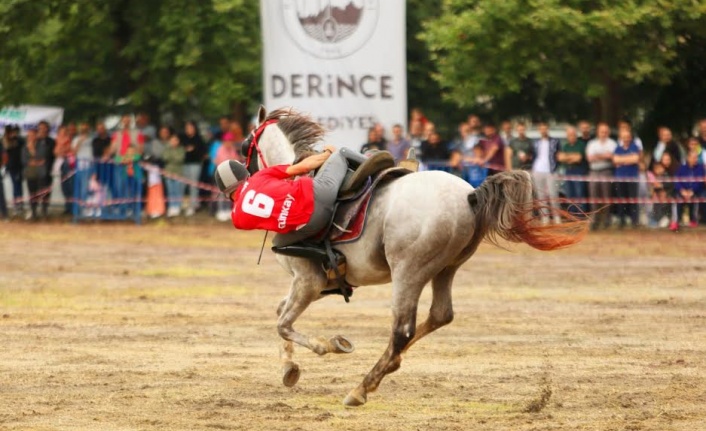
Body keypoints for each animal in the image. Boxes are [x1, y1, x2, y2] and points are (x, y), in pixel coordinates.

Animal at [239, 106, 584, 406]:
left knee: (402, 329)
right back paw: (389, 366)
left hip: (409, 272)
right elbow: (280, 313)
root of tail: (469, 195)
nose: (244, 175)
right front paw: (289, 368)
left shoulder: (308, 281)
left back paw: (361, 388)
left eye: (245, 147)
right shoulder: (323, 283)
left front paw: (328, 346)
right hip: (446, 268)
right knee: (440, 315)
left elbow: (283, 323)